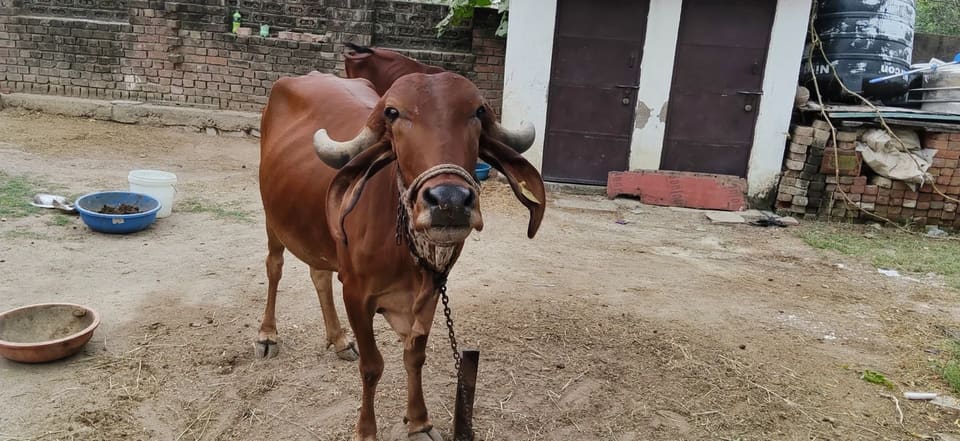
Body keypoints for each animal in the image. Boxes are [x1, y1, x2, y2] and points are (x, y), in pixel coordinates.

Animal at [257, 70, 546, 441]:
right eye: (393, 113)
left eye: (479, 112)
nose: (449, 201)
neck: (407, 256)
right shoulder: (356, 294)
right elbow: (372, 365)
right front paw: (366, 430)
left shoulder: (432, 290)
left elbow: (414, 356)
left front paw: (419, 421)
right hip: (272, 219)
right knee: (274, 267)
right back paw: (267, 334)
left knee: (318, 274)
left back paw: (339, 339)